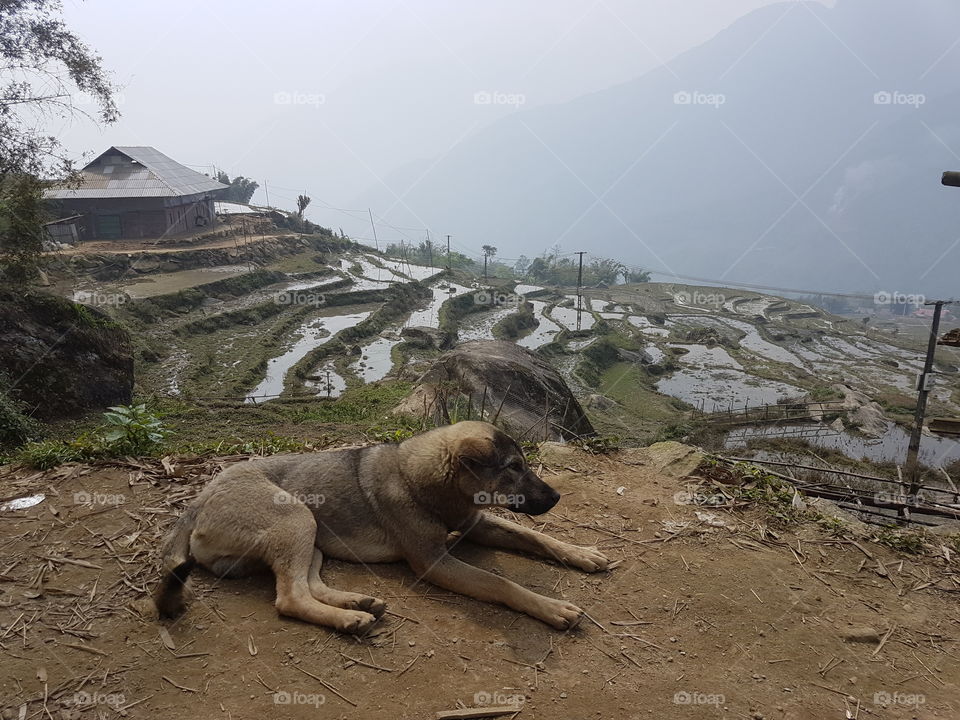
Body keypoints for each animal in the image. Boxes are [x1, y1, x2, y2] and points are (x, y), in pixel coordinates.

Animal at [155, 422, 612, 636]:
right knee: (289, 598)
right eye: (513, 468)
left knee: (308, 582)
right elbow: (502, 584)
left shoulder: (476, 524)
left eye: (525, 464)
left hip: (311, 538)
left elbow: (535, 536)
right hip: (296, 518)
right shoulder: (434, 563)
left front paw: (581, 553)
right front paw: (552, 608)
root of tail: (197, 501)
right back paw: (349, 619)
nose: (556, 497)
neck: (427, 482)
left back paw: (356, 603)